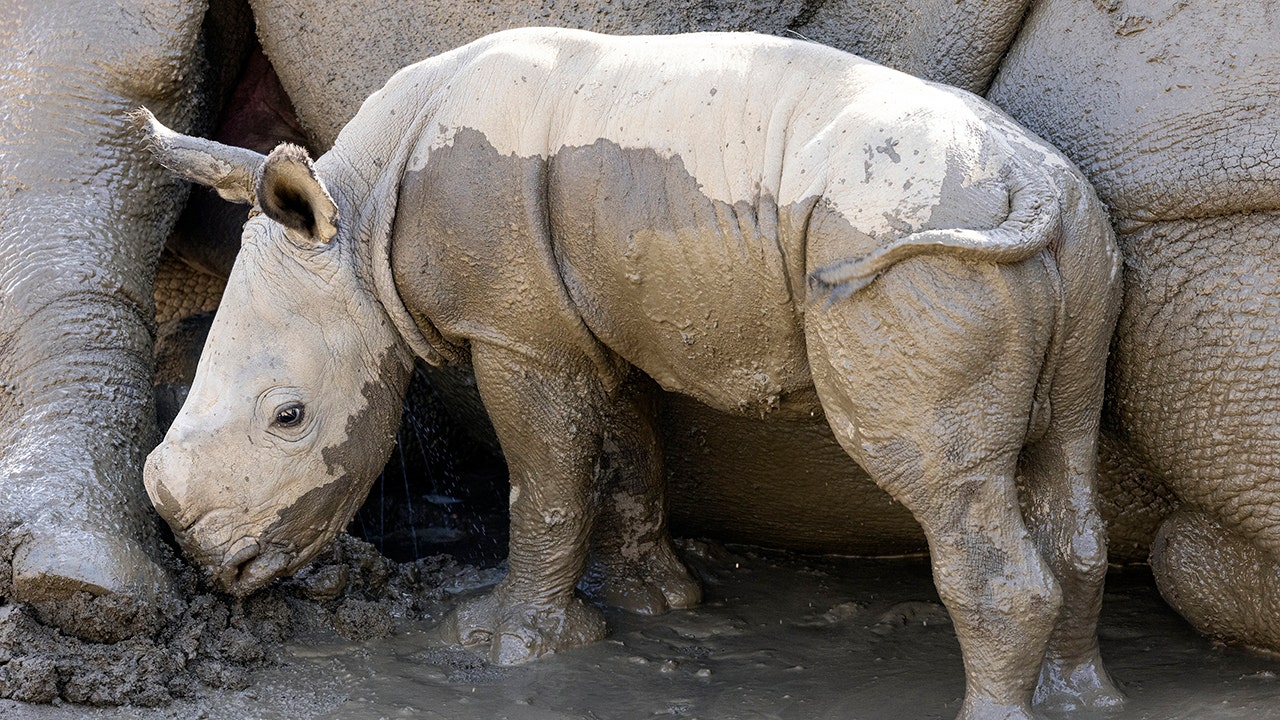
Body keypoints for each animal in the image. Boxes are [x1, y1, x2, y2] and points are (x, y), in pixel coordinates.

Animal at [139, 28, 1122, 720]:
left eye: (289, 418)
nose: (213, 565)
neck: (360, 213)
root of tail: (1031, 183)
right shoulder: (594, 320)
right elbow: (628, 454)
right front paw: (660, 601)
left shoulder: (517, 334)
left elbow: (543, 483)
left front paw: (505, 643)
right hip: (1078, 242)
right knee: (1068, 456)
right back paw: (1087, 699)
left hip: (919, 256)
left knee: (940, 477)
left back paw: (994, 712)